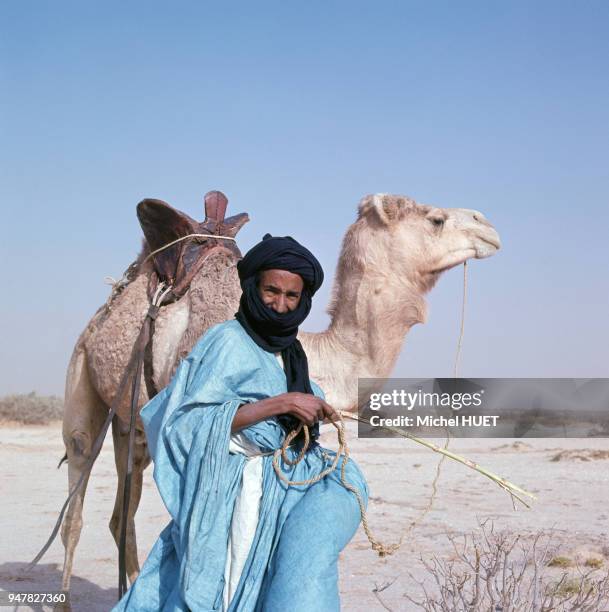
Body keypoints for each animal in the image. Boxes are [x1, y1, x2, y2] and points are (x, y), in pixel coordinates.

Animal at [58, 191, 498, 592]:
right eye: (436, 219)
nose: (487, 226)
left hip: (132, 426)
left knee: (121, 515)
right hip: (82, 378)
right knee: (75, 502)